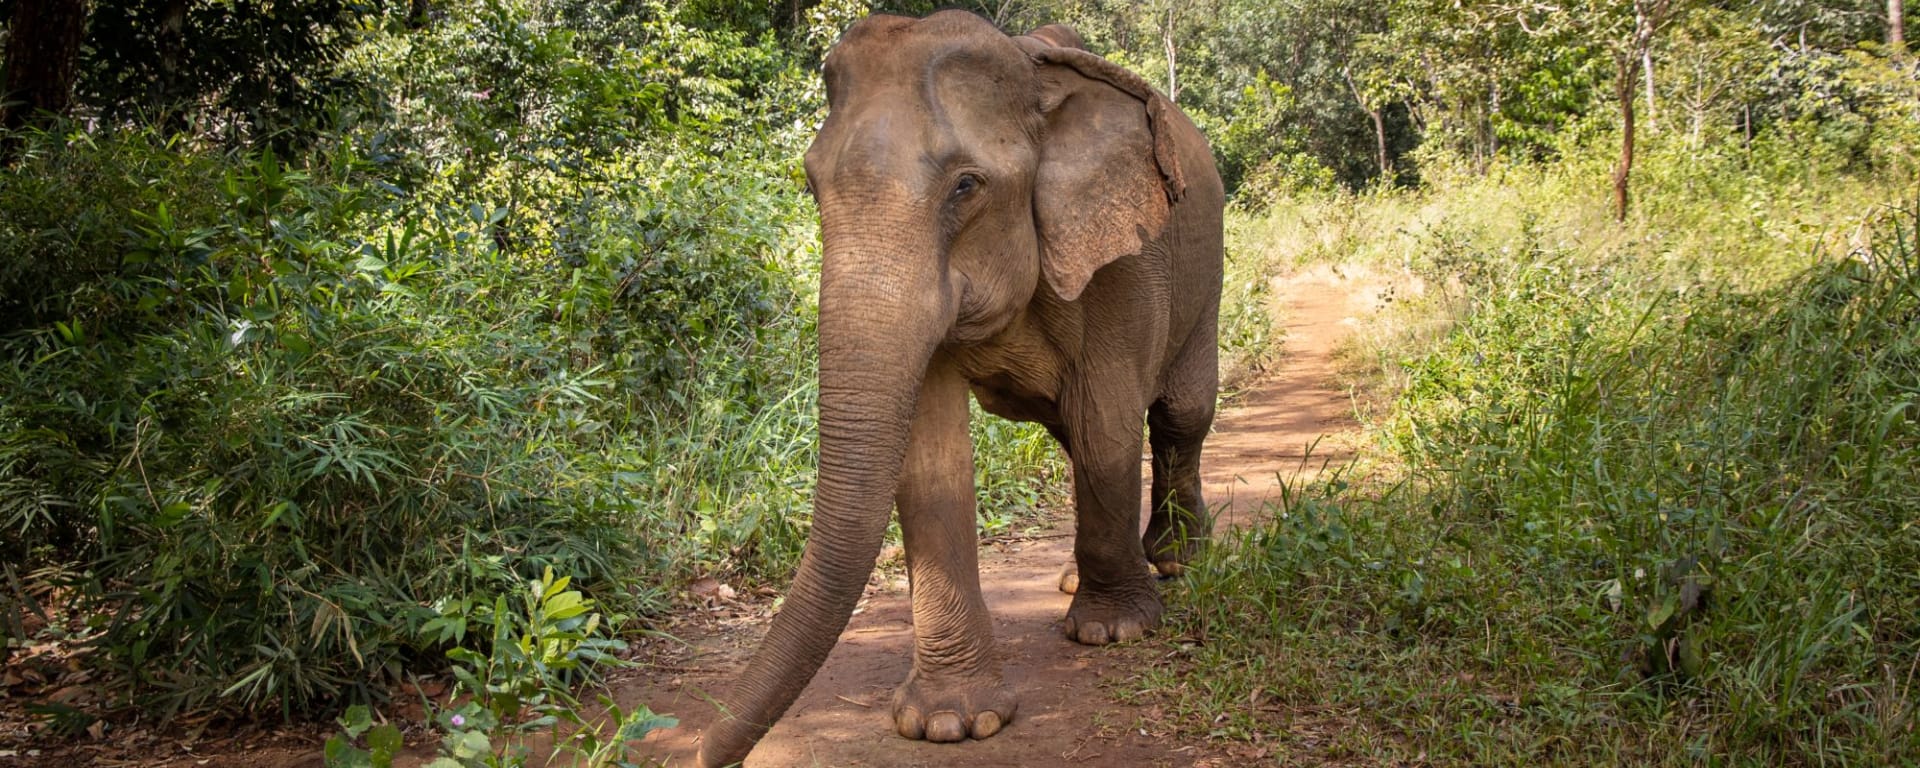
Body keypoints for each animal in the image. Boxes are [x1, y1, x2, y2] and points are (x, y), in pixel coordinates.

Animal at [698, 11, 1223, 767]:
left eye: (966, 187)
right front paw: (950, 723)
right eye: (811, 185)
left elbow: (1106, 423)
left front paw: (1114, 632)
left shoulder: (1121, 256)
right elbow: (931, 461)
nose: (706, 751)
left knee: (1179, 413)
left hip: (1205, 271)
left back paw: (1175, 561)